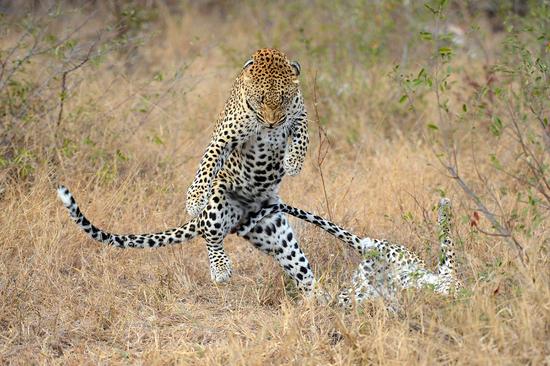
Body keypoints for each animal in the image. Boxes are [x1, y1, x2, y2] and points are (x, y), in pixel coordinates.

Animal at [57, 48, 320, 294]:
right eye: (260, 98)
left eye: (284, 98)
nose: (272, 123)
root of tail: (248, 212)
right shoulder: (224, 137)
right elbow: (208, 163)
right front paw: (194, 200)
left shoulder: (300, 114)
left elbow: (302, 135)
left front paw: (293, 162)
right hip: (218, 202)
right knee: (210, 235)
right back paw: (220, 268)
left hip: (273, 230)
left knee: (299, 268)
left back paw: (319, 299)